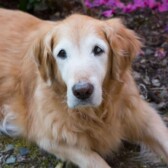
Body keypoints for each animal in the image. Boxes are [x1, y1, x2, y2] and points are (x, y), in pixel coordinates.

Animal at [0, 8, 167, 167]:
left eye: (98, 49)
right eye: (62, 53)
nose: (82, 91)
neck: (97, 114)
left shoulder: (143, 115)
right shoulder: (50, 138)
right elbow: (95, 160)